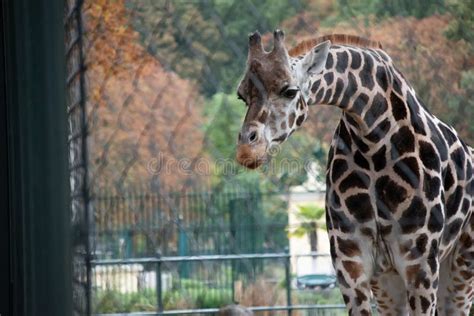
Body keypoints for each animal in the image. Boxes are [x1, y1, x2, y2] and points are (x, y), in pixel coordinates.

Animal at [235, 30, 472, 316]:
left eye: (290, 91)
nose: (247, 149)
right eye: (241, 95)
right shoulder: (350, 262)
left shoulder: (421, 264)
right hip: (389, 282)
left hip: (460, 269)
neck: (373, 143)